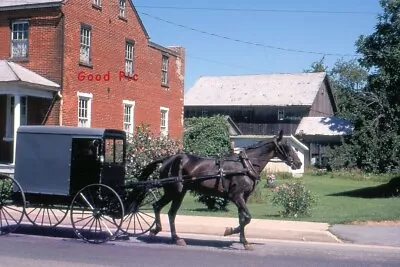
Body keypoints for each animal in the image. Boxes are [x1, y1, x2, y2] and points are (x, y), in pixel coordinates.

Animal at [139, 130, 302, 251]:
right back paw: (156, 230)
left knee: (171, 213)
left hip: (179, 193)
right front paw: (230, 231)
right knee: (157, 206)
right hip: (173, 191)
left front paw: (244, 241)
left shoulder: (243, 197)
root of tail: (168, 159)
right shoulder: (236, 196)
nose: (299, 163)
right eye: (287, 147)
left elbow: (243, 218)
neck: (245, 165)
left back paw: (176, 238)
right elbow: (248, 218)